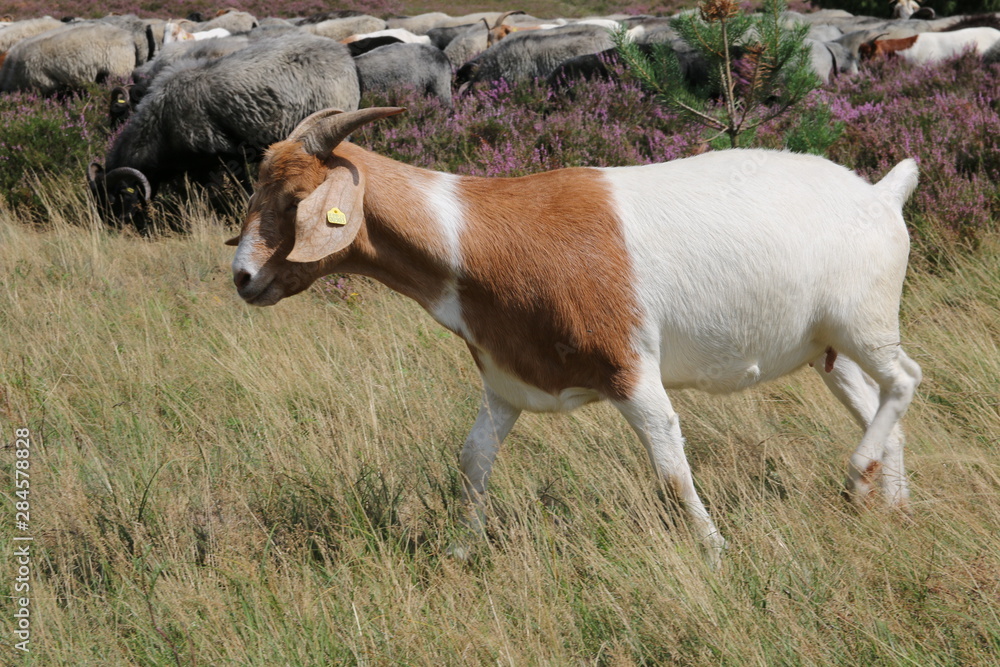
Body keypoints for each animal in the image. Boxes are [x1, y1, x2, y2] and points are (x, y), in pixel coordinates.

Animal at [228, 107, 923, 567]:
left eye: (295, 198)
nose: (242, 277)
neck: (476, 232)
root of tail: (883, 193)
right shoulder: (507, 383)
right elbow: (472, 458)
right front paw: (461, 550)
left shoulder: (630, 371)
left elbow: (670, 466)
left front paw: (716, 550)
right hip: (828, 349)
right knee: (873, 401)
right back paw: (889, 503)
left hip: (866, 324)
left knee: (904, 380)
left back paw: (858, 477)